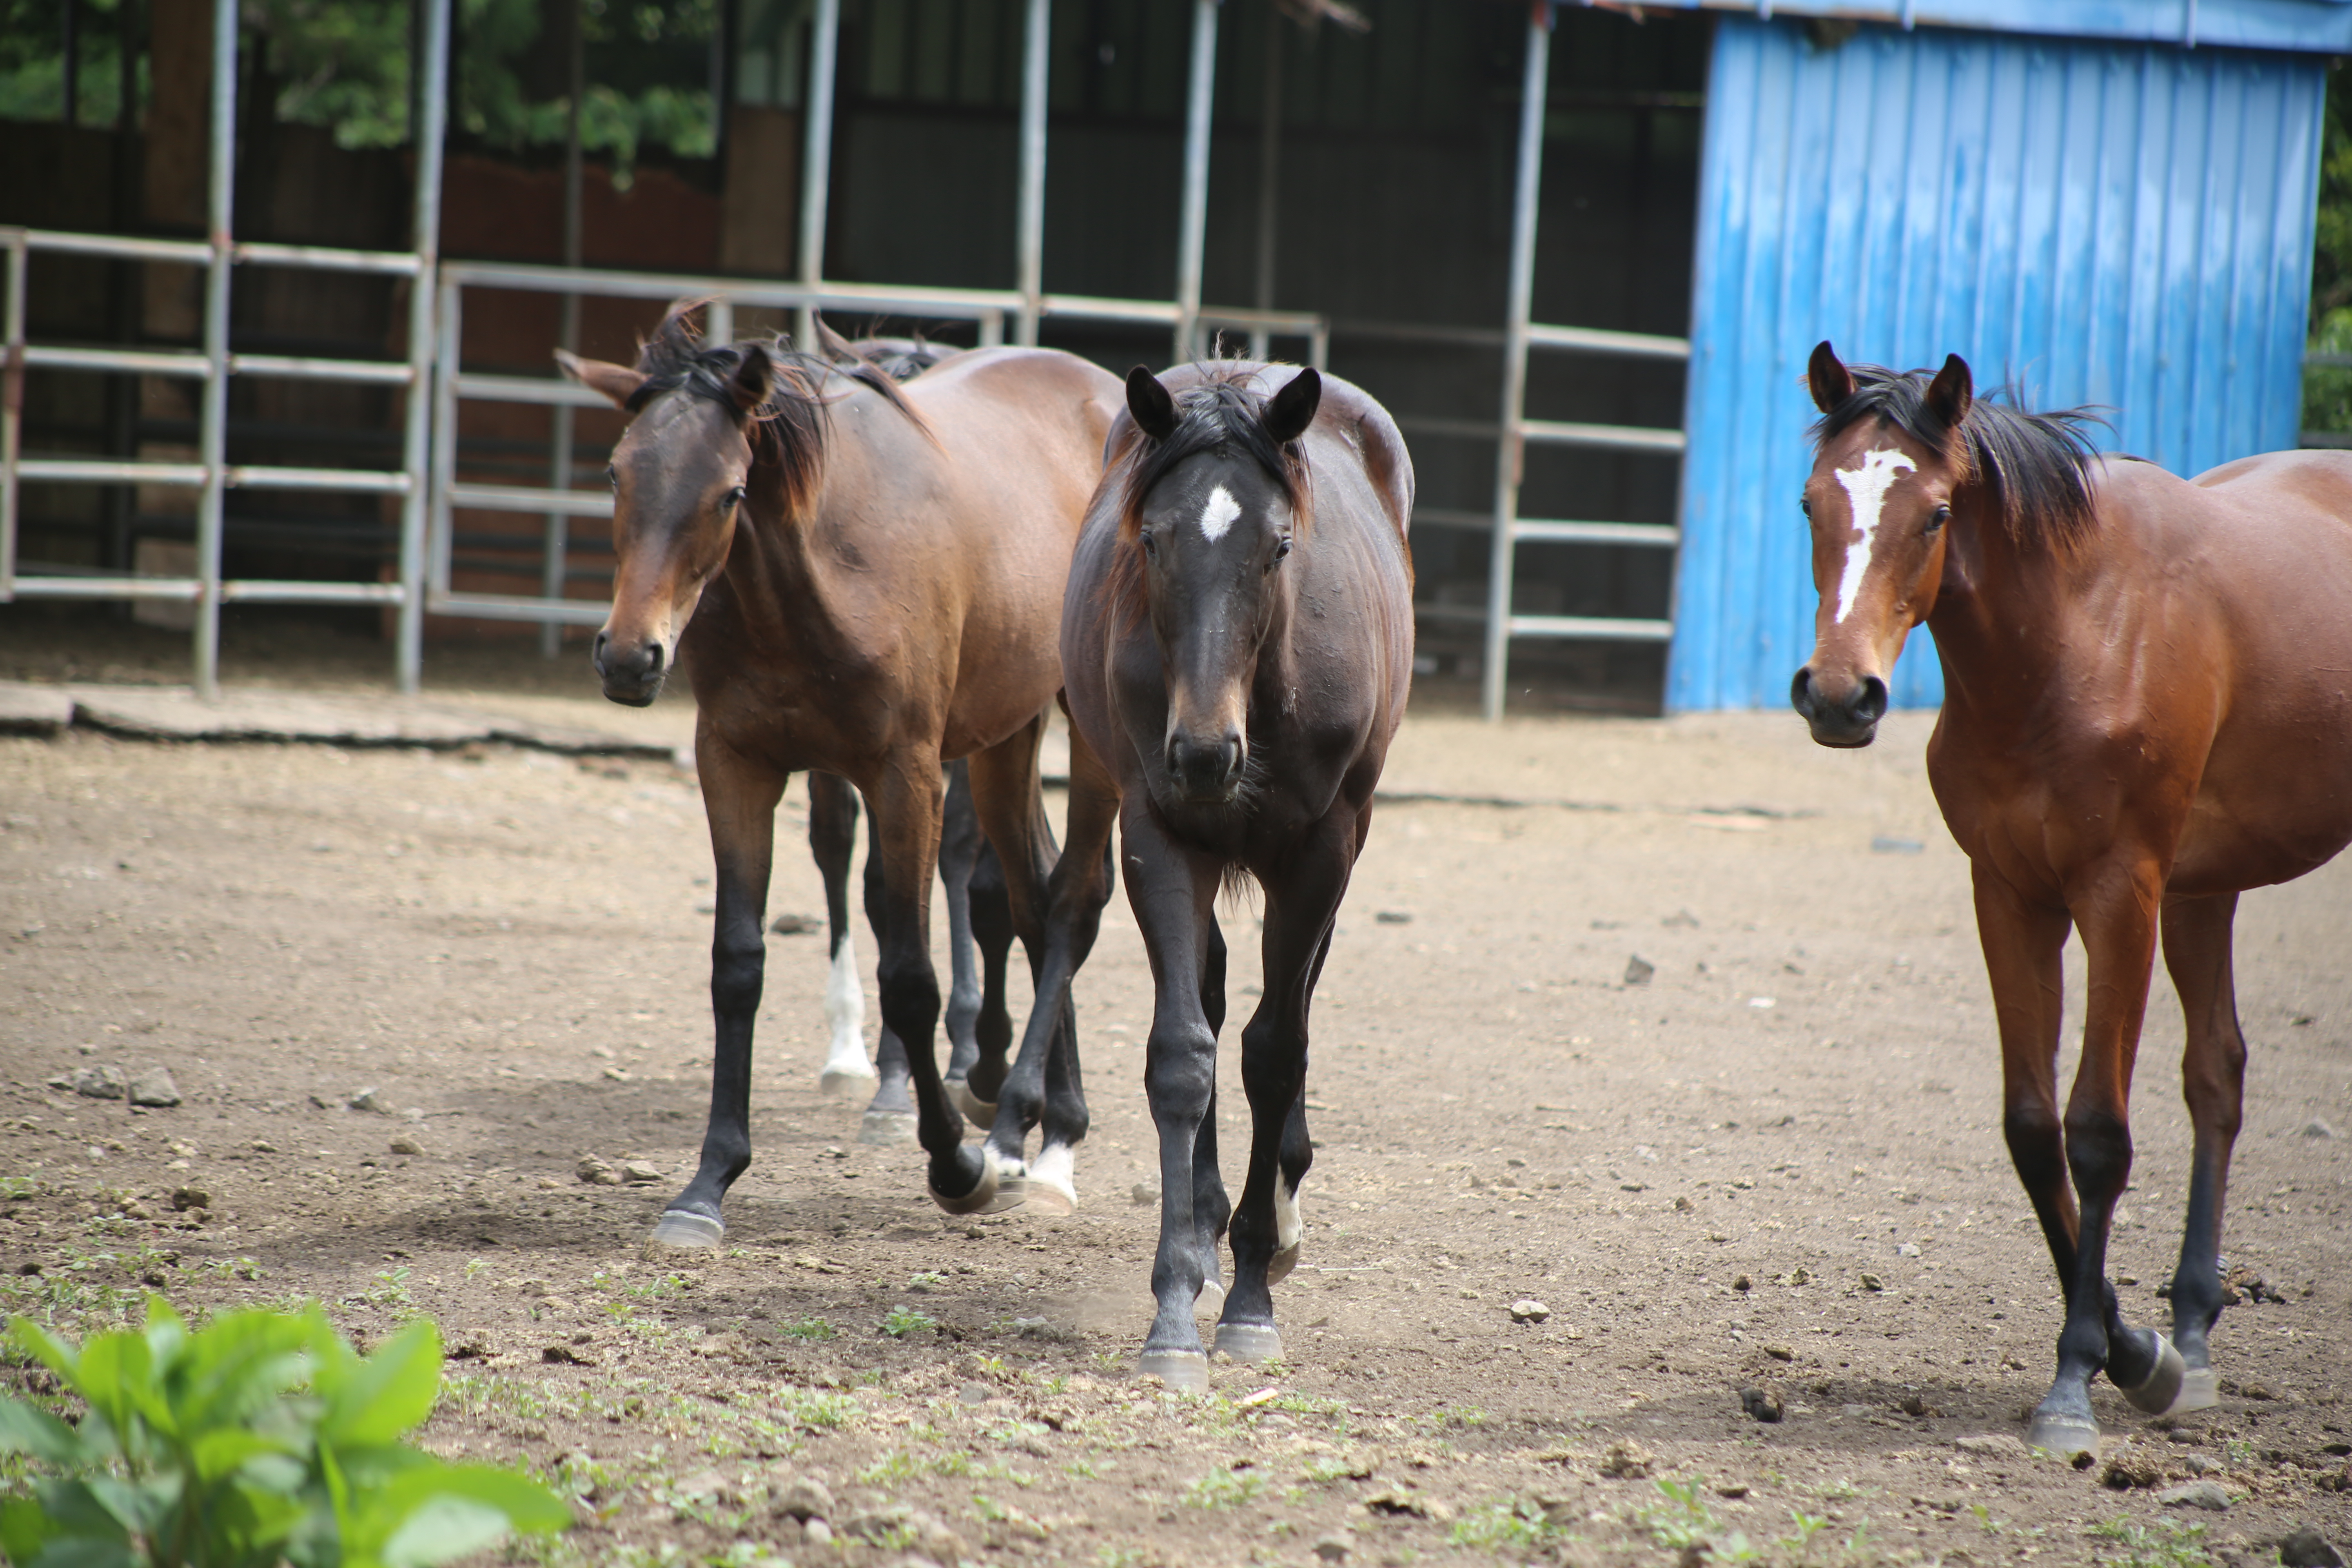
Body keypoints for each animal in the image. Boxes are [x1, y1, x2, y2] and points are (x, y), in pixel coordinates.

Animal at [564, 303, 1124, 1241]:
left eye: (729, 492)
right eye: (616, 473)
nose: (631, 657)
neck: (820, 577)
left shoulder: (907, 775)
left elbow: (910, 977)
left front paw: (952, 1164)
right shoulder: (737, 765)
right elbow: (738, 964)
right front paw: (707, 1184)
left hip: (1086, 729)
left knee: (1074, 900)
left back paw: (1034, 1147)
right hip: (1006, 734)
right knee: (1034, 895)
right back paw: (1041, 1128)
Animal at [997, 359, 1411, 1382]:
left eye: (1279, 546)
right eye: (1152, 539)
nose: (1204, 753)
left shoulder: (1322, 850)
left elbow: (1276, 1052)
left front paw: (1255, 1294)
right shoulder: (1158, 831)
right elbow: (1185, 1055)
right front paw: (1180, 1301)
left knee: (1288, 1010)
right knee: (1219, 997)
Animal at [1787, 345, 2352, 1457]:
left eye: (1932, 514)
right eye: (1811, 505)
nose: (1838, 696)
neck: (2078, 634)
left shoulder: (2116, 895)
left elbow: (2095, 1132)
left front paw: (2072, 1383)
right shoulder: (2010, 895)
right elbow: (2028, 1127)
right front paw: (2139, 1354)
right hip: (2203, 889)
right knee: (2215, 1074)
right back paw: (2193, 1331)